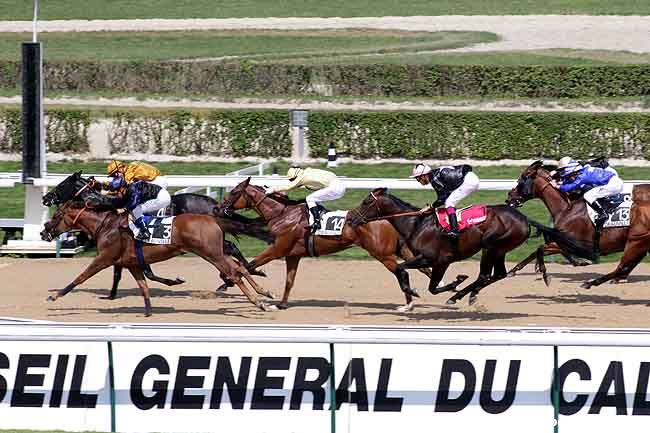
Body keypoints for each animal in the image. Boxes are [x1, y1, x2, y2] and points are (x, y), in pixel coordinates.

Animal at [40, 198, 274, 314]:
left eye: (57, 215)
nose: (44, 232)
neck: (106, 226)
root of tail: (212, 218)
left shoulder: (104, 258)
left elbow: (81, 277)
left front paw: (55, 296)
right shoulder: (132, 263)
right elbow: (144, 285)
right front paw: (148, 312)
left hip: (211, 254)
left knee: (234, 273)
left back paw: (258, 303)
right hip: (216, 252)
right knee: (239, 268)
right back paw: (264, 293)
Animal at [41, 170, 270, 298]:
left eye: (62, 184)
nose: (45, 197)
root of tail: (213, 204)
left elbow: (132, 271)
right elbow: (124, 271)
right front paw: (112, 295)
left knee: (231, 249)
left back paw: (238, 277)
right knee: (231, 249)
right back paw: (242, 275)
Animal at [218, 177, 430, 312]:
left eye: (234, 192)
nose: (219, 208)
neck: (282, 214)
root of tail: (387, 218)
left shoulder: (277, 249)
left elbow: (249, 265)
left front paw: (227, 283)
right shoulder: (292, 255)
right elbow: (289, 281)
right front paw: (282, 304)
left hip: (382, 254)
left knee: (402, 272)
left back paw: (410, 299)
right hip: (400, 250)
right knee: (416, 269)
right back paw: (410, 303)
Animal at [350, 188, 588, 304]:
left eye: (366, 202)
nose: (351, 218)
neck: (417, 223)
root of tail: (524, 218)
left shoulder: (439, 260)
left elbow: (428, 284)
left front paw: (452, 283)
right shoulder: (427, 259)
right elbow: (409, 272)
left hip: (491, 246)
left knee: (485, 275)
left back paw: (458, 296)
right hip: (499, 249)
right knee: (497, 274)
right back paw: (468, 295)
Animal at [506, 160, 648, 288]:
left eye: (522, 178)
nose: (509, 198)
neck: (566, 209)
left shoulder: (575, 244)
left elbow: (540, 248)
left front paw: (547, 273)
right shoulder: (565, 242)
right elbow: (537, 251)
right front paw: (513, 271)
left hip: (635, 242)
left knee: (623, 266)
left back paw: (595, 282)